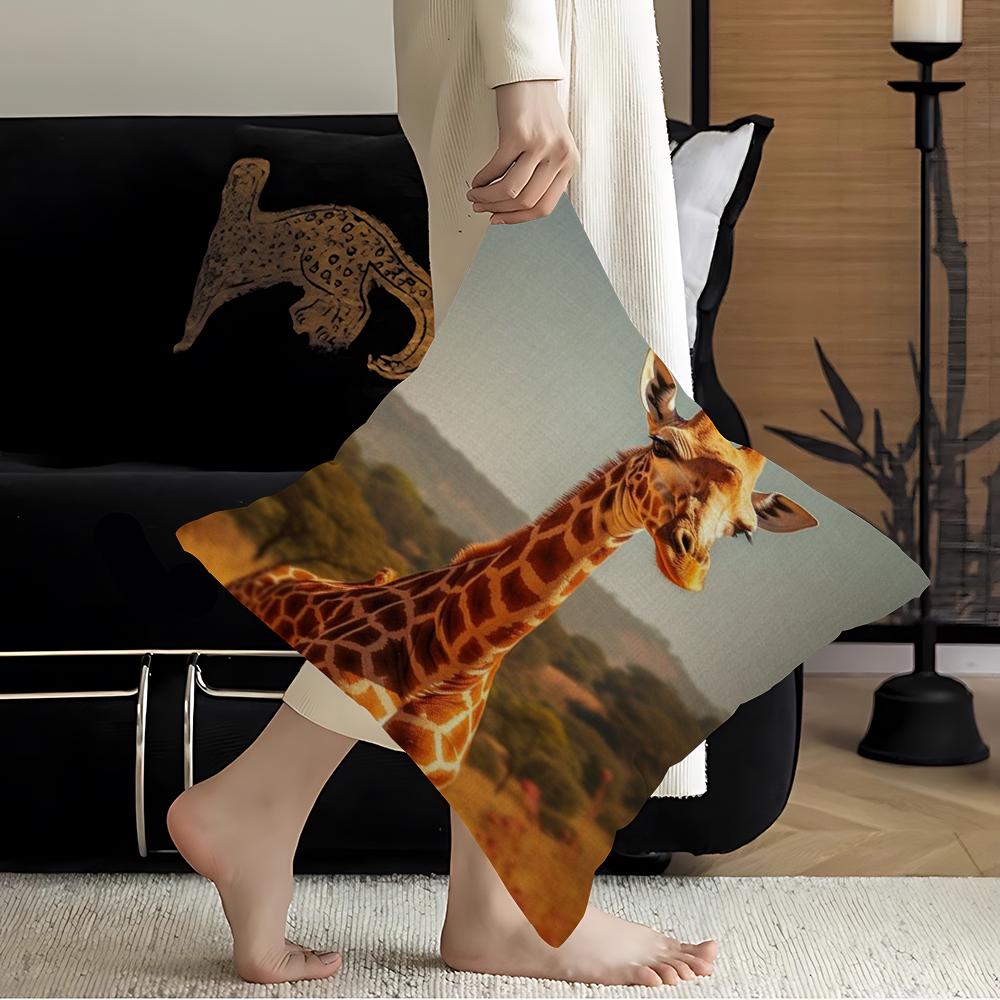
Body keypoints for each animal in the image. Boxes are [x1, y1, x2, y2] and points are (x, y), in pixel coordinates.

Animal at [173, 157, 433, 379]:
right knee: (339, 301)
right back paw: (310, 318)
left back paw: (332, 335)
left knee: (359, 305)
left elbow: (194, 314)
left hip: (325, 268)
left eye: (246, 168)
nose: (258, 162)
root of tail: (373, 231)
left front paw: (182, 345)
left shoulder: (211, 276)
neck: (234, 215)